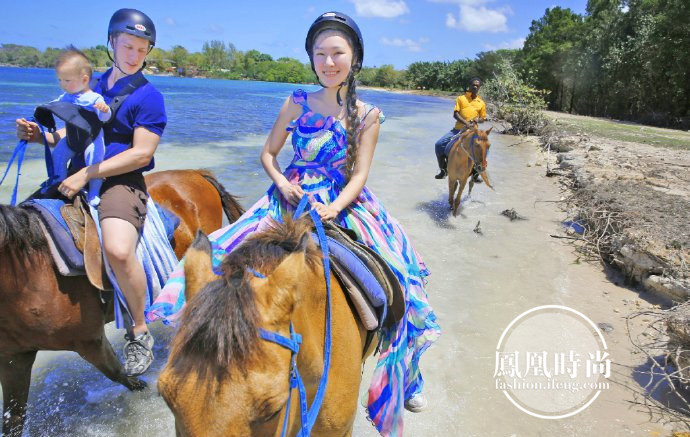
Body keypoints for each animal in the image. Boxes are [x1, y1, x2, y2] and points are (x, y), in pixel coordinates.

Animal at [0, 169, 243, 436]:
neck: (33, 270)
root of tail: (196, 173)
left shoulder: (90, 341)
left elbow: (119, 374)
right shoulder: (15, 358)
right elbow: (14, 418)